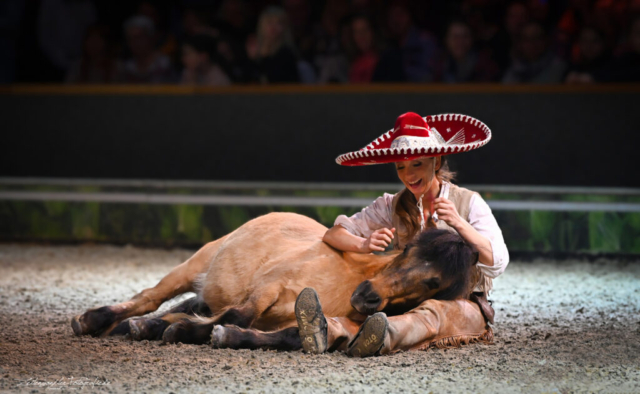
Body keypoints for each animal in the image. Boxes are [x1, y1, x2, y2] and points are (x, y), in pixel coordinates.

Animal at [71, 212, 480, 348]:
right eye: (407, 249)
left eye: (433, 283)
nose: (366, 297)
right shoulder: (268, 288)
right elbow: (239, 315)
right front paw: (193, 331)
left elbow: (280, 334)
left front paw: (207, 333)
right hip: (195, 265)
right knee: (149, 298)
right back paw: (92, 320)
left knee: (174, 309)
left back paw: (141, 327)